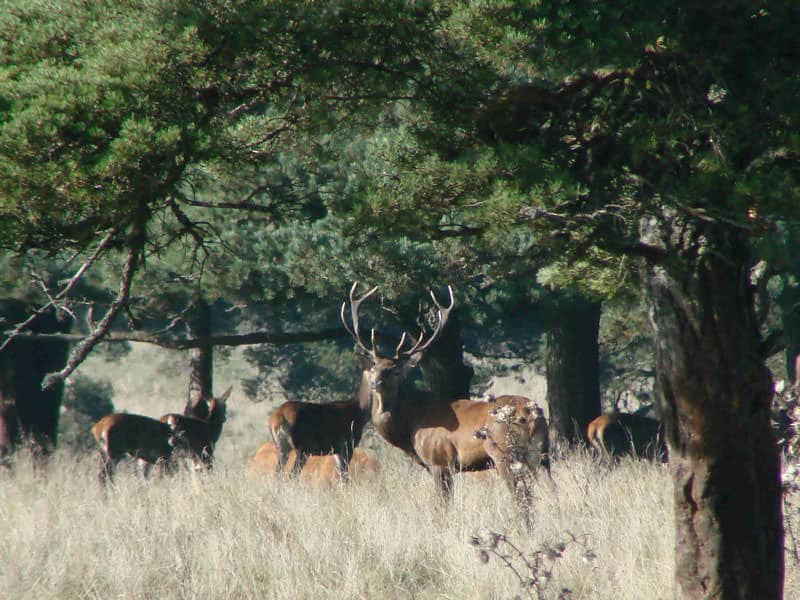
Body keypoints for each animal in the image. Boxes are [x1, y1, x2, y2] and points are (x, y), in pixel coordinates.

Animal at [342, 282, 555, 500]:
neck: (411, 425)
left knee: (522, 497)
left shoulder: (439, 459)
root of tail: (531, 413)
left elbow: (442, 503)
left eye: (395, 370)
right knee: (551, 491)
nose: (376, 383)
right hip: (541, 454)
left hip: (504, 453)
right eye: (373, 367)